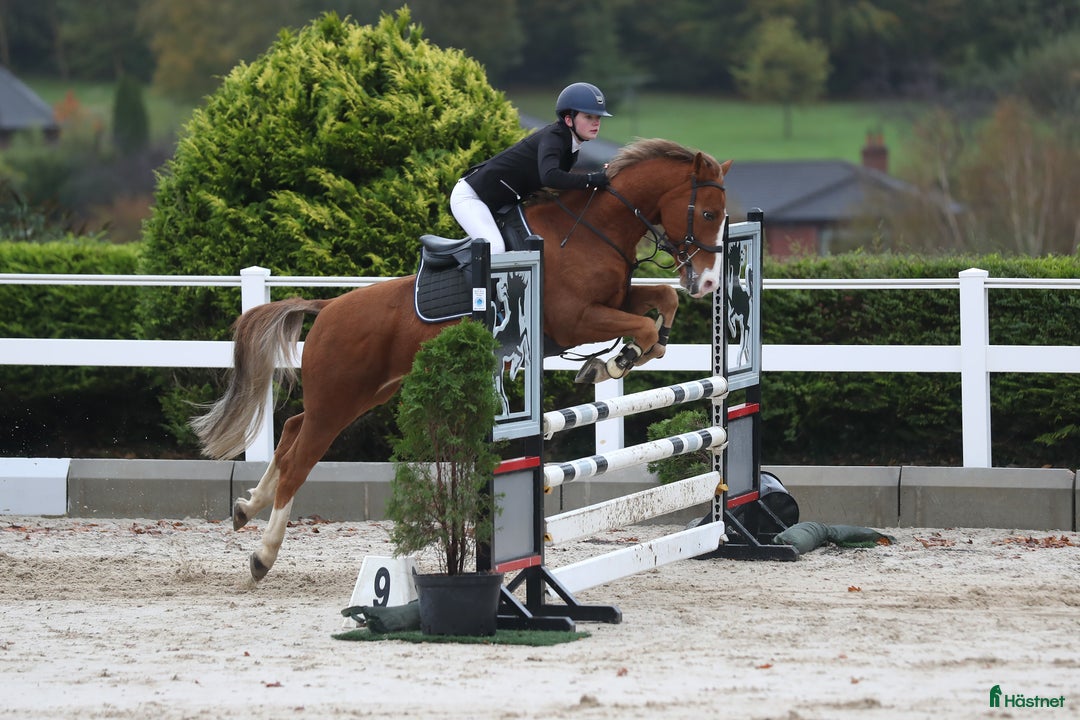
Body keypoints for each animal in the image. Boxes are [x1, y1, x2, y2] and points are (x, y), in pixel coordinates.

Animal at [192, 137, 733, 581]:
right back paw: (263, 555)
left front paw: (625, 355)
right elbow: (645, 323)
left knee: (290, 432)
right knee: (300, 457)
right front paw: (613, 362)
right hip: (341, 397)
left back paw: (247, 507)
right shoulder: (576, 318)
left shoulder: (614, 300)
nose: (708, 281)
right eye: (708, 214)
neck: (591, 230)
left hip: (363, 393)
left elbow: (662, 303)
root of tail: (327, 309)